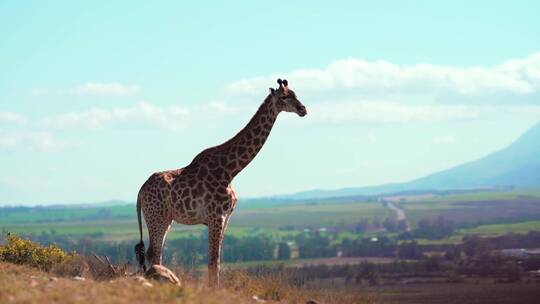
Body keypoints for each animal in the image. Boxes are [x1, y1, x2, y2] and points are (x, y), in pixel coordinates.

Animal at [135, 79, 308, 288]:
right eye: (284, 97)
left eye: (295, 93)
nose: (303, 109)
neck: (231, 170)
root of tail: (140, 191)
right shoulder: (216, 216)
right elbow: (213, 262)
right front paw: (215, 290)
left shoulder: (226, 218)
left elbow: (216, 261)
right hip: (157, 217)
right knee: (153, 253)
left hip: (165, 219)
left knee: (154, 253)